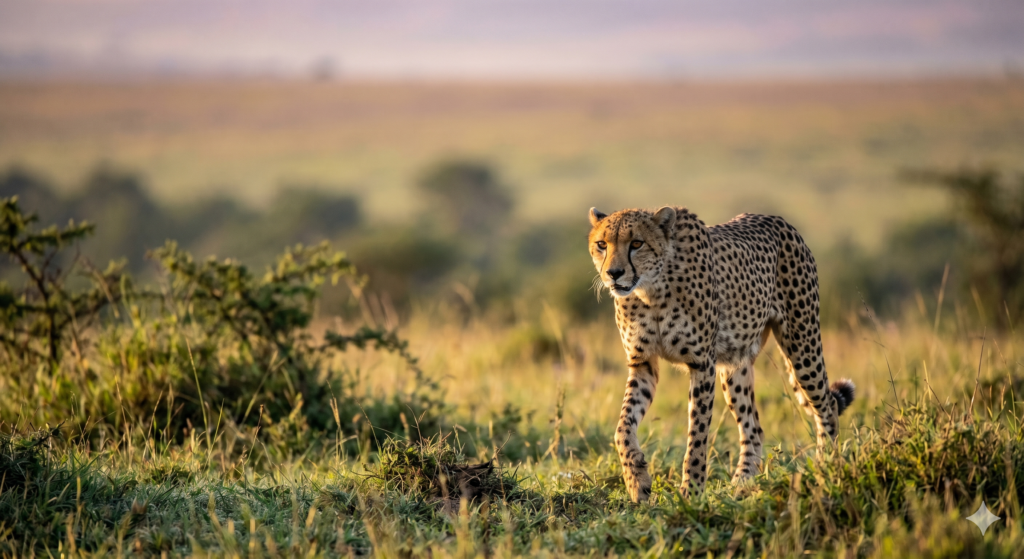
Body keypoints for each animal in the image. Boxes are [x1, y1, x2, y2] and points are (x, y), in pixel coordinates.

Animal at [587, 205, 855, 503]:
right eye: (602, 244)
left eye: (636, 243)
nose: (613, 273)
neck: (650, 290)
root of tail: (778, 219)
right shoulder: (642, 363)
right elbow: (623, 426)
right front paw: (637, 480)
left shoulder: (702, 364)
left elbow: (697, 433)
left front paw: (691, 492)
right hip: (734, 368)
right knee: (754, 428)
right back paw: (742, 484)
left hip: (802, 345)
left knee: (827, 406)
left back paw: (824, 468)